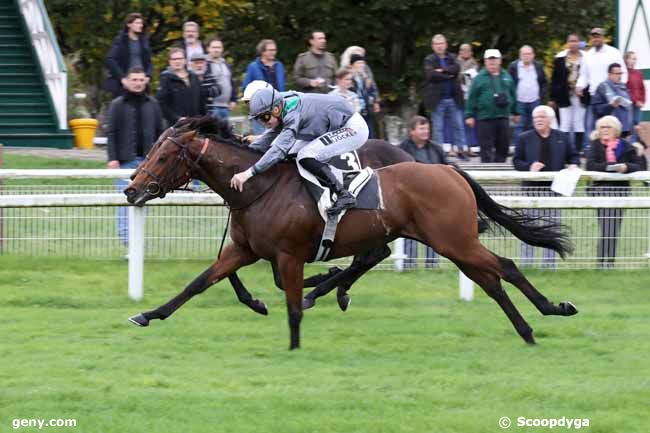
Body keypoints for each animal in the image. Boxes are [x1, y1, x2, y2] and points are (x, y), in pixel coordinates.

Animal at [124, 116, 576, 350]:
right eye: (152, 150)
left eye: (162, 156)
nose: (131, 189)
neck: (257, 186)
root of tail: (447, 169)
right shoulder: (244, 250)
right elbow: (199, 283)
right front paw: (148, 314)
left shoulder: (288, 254)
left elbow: (289, 300)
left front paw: (294, 340)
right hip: (451, 244)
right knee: (490, 281)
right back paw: (528, 329)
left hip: (454, 240)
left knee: (506, 266)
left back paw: (554, 309)